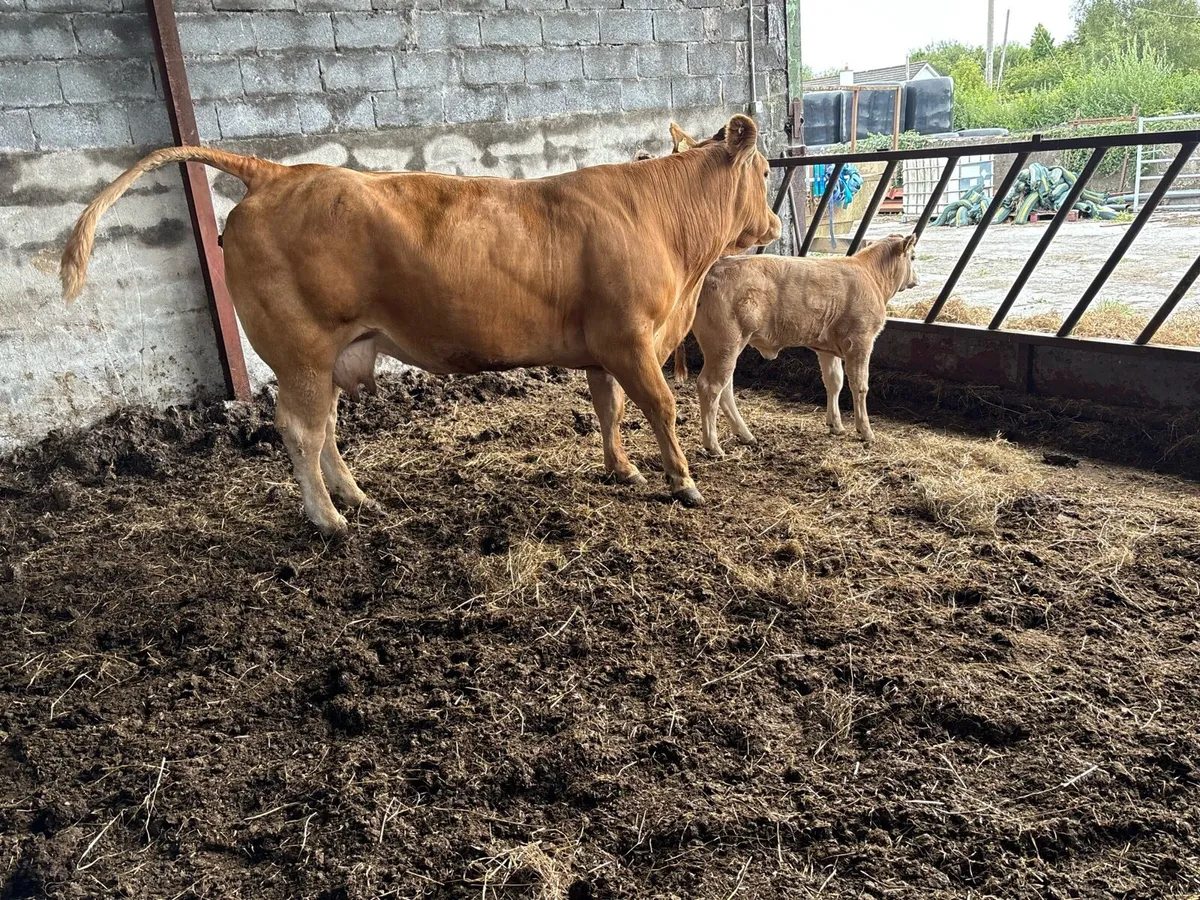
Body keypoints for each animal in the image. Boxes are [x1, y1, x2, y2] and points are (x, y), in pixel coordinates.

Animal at [60, 115, 781, 537]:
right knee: (301, 429)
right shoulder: (631, 339)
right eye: (769, 170)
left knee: (324, 429)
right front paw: (683, 482)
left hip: (327, 357)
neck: (662, 223)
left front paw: (622, 470)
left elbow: (609, 410)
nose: (774, 225)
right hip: (300, 352)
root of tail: (280, 172)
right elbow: (660, 406)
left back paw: (358, 499)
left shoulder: (602, 348)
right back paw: (329, 519)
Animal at [675, 235, 919, 457]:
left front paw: (836, 425)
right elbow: (859, 385)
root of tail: (713, 268)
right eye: (913, 257)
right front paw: (865, 431)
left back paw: (745, 435)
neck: (871, 275)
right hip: (724, 343)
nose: (916, 280)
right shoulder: (861, 341)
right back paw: (713, 446)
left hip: (726, 348)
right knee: (710, 386)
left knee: (725, 388)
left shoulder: (826, 349)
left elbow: (834, 382)